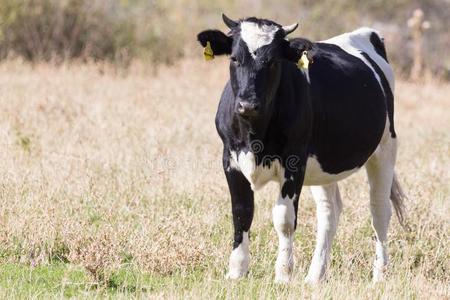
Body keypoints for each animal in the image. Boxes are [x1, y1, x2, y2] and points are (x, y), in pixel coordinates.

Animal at [195, 14, 406, 284]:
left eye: (273, 61)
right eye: (234, 58)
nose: (248, 104)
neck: (255, 135)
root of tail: (366, 34)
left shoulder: (294, 162)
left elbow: (284, 219)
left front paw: (283, 274)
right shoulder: (230, 160)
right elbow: (241, 213)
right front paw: (236, 271)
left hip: (385, 148)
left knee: (379, 211)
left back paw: (379, 275)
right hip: (324, 164)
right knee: (329, 213)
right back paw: (315, 276)